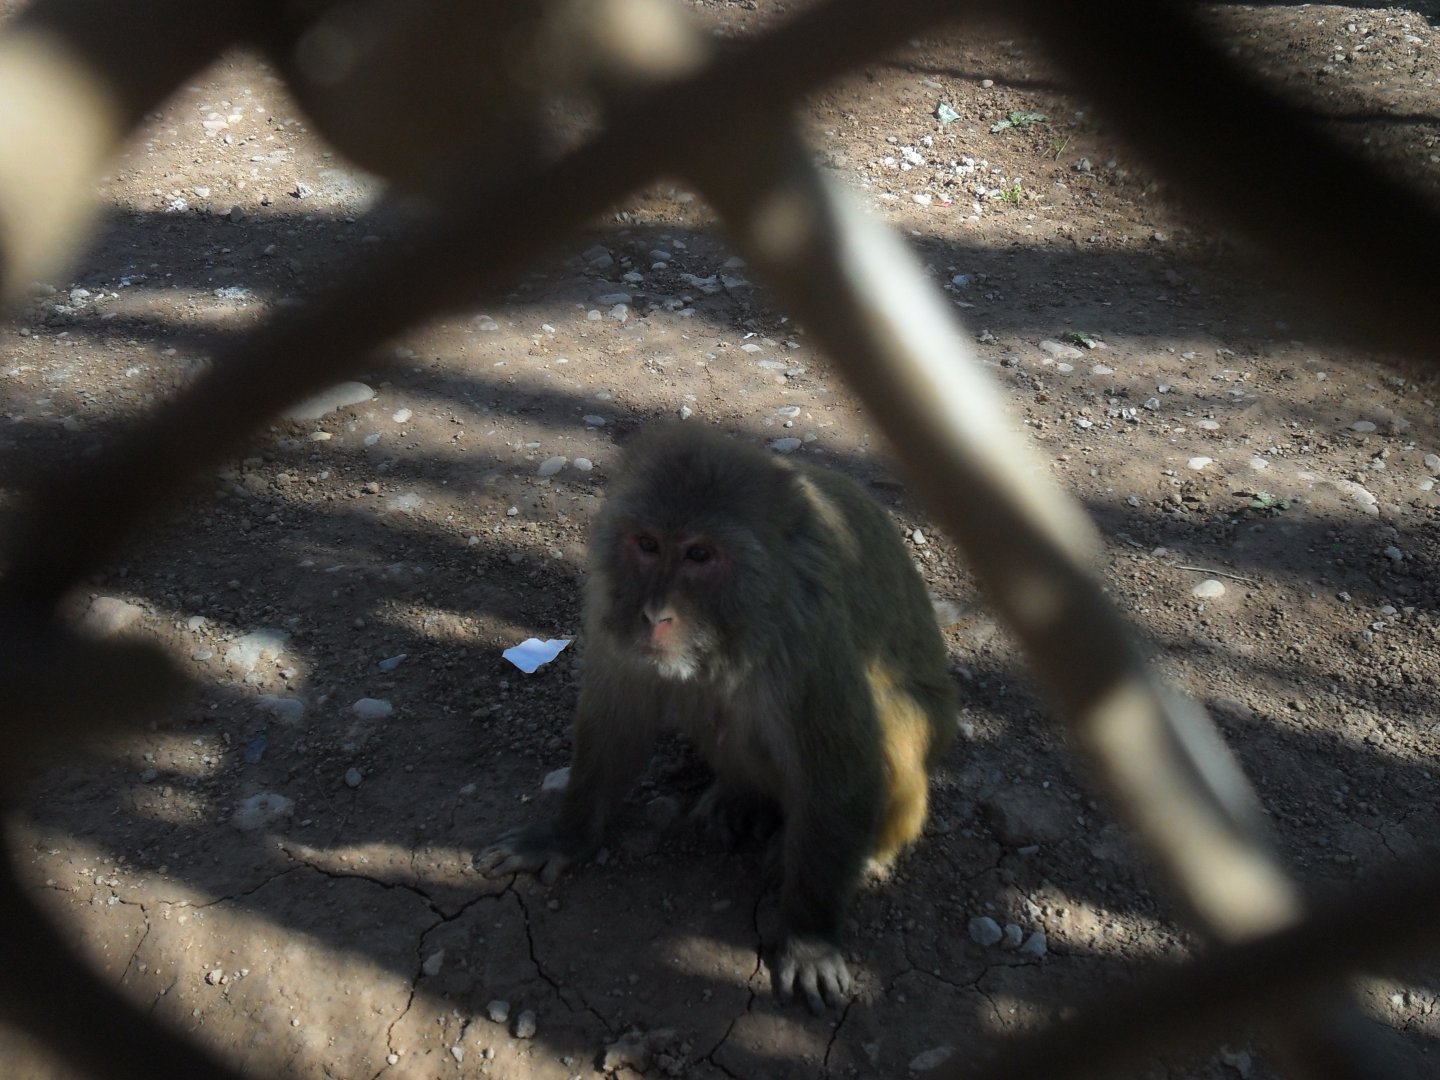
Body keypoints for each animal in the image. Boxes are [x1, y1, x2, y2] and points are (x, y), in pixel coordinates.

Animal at [478, 424, 957, 1013]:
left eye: (700, 554)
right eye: (648, 545)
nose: (654, 615)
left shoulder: (808, 631)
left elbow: (841, 773)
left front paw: (809, 937)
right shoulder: (611, 601)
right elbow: (617, 719)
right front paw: (565, 836)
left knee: (885, 720)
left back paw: (866, 854)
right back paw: (743, 798)